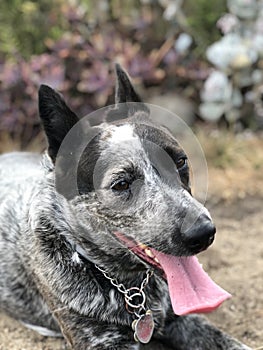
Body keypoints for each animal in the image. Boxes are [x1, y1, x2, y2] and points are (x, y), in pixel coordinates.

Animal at [0, 64, 252, 348]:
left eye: (180, 161)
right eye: (121, 184)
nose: (203, 233)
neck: (133, 288)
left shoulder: (182, 319)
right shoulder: (102, 341)